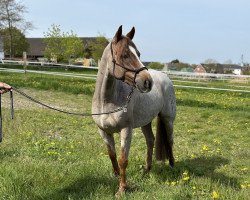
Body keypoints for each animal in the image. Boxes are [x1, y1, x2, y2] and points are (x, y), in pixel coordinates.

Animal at [92, 25, 176, 196]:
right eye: (124, 55)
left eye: (138, 54)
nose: (147, 82)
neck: (106, 100)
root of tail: (165, 78)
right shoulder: (103, 131)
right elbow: (112, 155)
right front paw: (115, 175)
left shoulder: (126, 130)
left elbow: (123, 160)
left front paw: (122, 189)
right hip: (146, 121)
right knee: (150, 140)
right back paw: (147, 169)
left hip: (168, 118)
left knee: (170, 140)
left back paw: (171, 165)